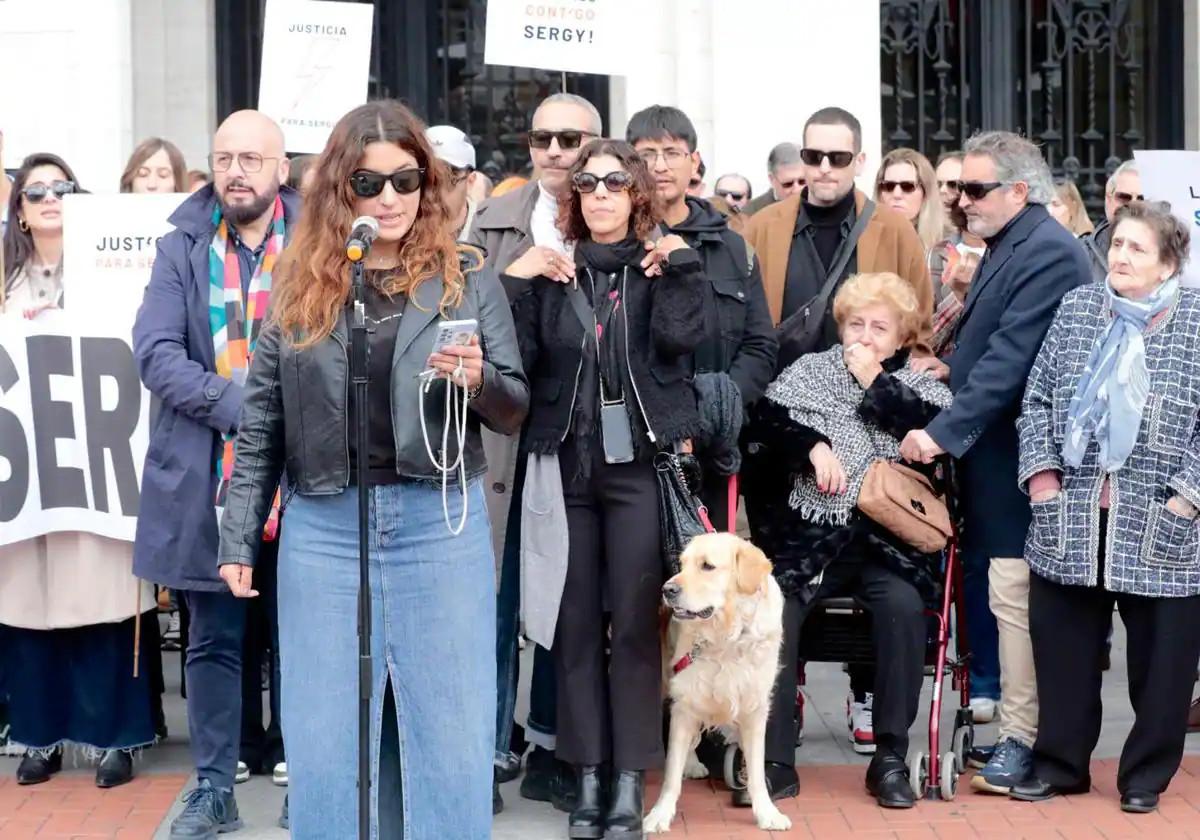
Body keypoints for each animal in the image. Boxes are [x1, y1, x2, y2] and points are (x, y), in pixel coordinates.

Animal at [648, 535, 787, 830]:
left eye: (707, 566)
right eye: (682, 564)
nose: (667, 590)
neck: (729, 635)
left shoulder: (755, 709)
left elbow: (757, 773)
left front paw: (767, 813)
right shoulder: (685, 701)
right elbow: (671, 774)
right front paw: (659, 814)